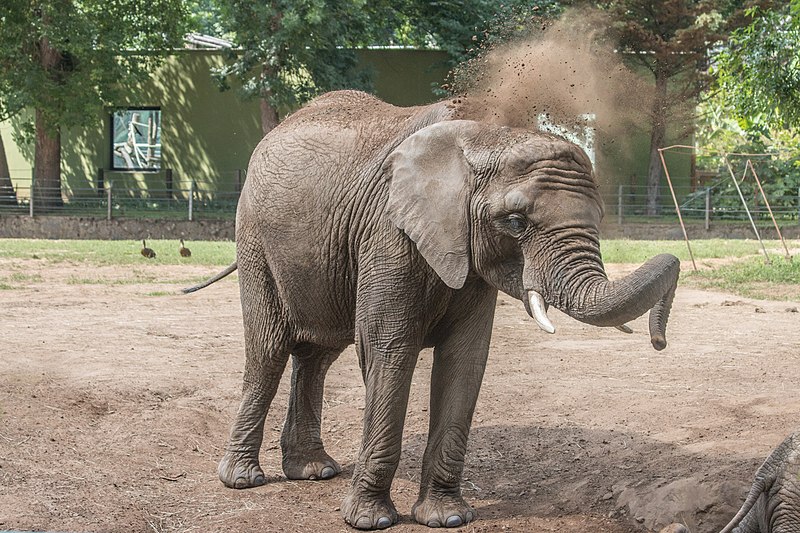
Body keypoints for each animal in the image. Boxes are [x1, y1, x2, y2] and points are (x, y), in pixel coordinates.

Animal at [188, 88, 680, 528]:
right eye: (515, 222)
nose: (659, 341)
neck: (487, 137)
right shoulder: (388, 234)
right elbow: (388, 352)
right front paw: (370, 521)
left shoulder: (467, 259)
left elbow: (464, 361)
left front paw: (448, 518)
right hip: (254, 239)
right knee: (268, 353)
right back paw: (244, 480)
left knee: (317, 355)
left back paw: (314, 471)